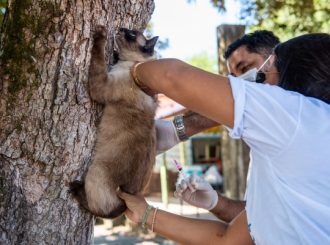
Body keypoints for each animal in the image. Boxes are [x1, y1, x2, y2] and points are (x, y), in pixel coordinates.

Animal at [69, 26, 159, 218]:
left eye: (131, 34)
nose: (121, 28)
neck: (131, 65)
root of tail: (127, 199)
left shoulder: (101, 84)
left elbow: (97, 56)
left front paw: (100, 34)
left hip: (95, 172)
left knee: (102, 210)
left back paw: (77, 190)